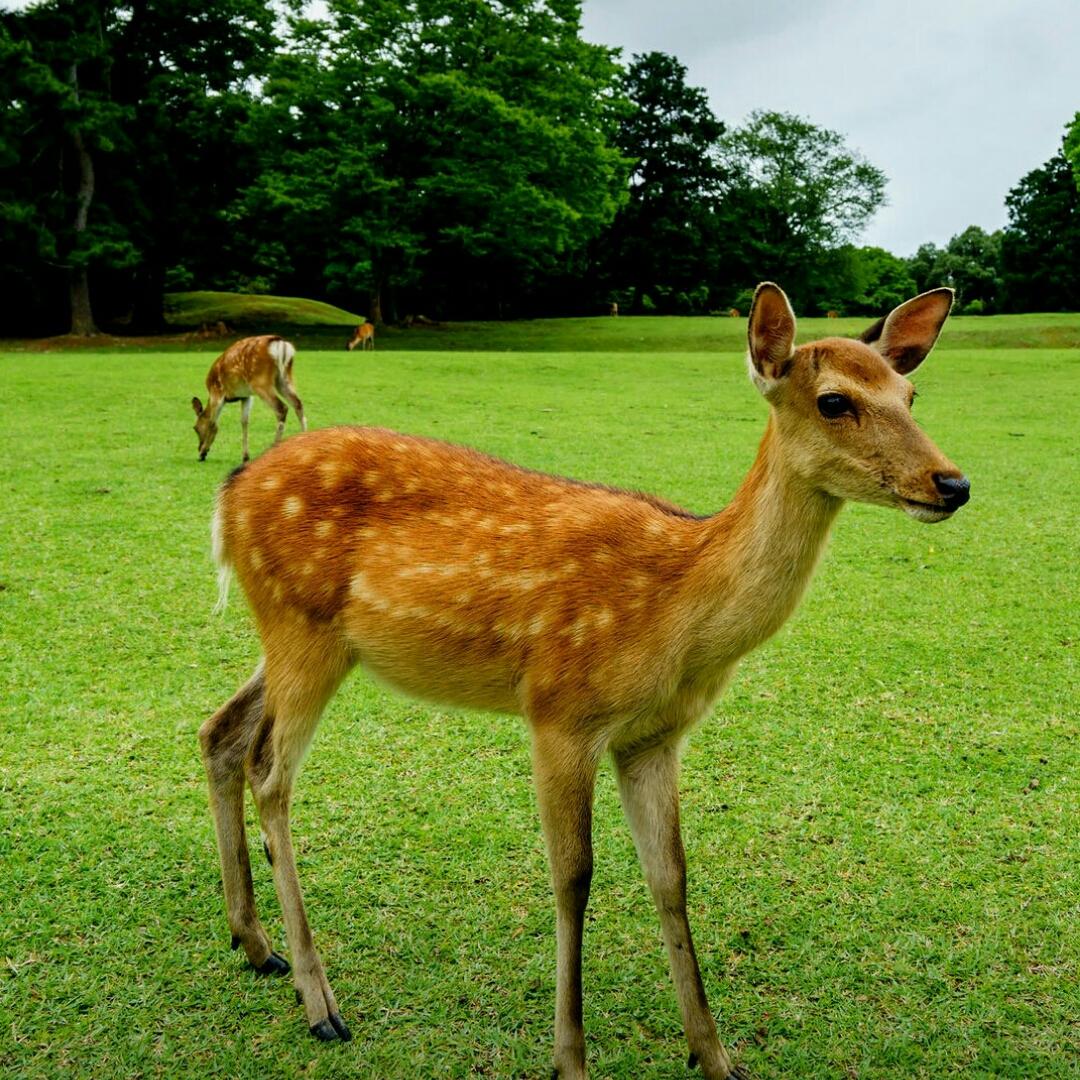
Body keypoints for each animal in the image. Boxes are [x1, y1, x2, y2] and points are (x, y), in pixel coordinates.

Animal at [190, 332, 306, 460]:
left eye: (195, 428)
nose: (199, 448)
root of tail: (281, 344)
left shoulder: (217, 392)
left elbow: (213, 423)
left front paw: (203, 453)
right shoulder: (246, 396)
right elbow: (244, 421)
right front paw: (245, 456)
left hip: (260, 381)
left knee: (282, 408)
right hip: (284, 377)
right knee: (298, 404)